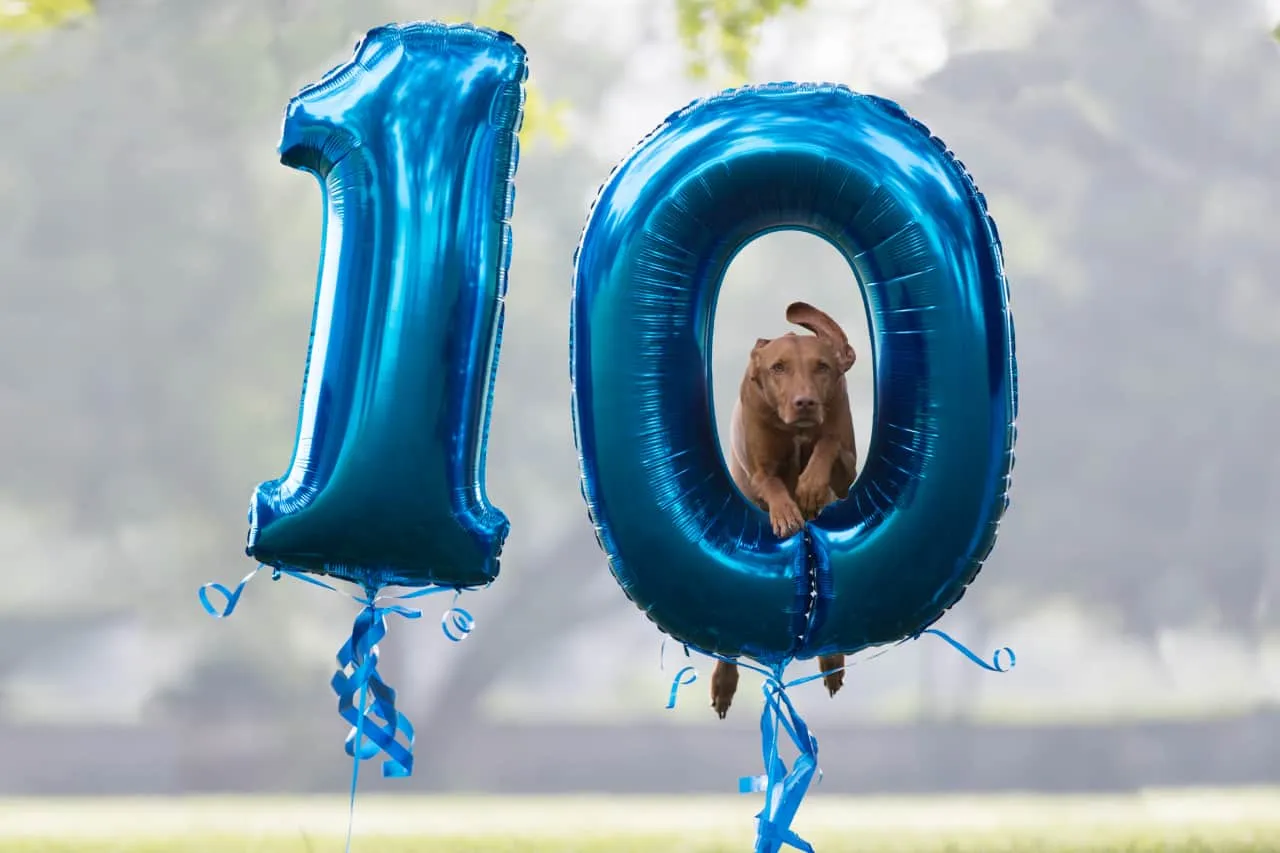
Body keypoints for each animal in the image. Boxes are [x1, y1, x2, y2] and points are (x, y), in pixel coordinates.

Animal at [711, 302, 860, 712]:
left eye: (822, 367)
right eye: (778, 367)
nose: (805, 403)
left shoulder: (846, 465)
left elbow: (827, 445)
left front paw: (809, 488)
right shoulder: (759, 469)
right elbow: (773, 482)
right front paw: (787, 512)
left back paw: (831, 662)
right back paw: (723, 683)